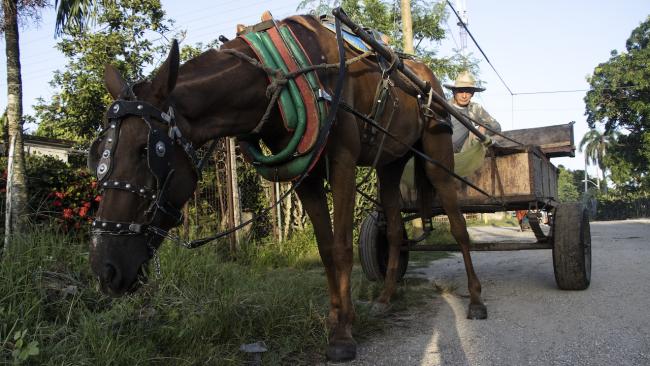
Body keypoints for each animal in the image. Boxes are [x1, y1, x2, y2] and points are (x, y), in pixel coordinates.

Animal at [86, 13, 484, 360]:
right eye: (98, 153)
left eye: (148, 151)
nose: (105, 270)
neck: (281, 78)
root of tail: (424, 76)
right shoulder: (304, 175)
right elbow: (326, 249)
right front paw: (337, 317)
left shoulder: (342, 161)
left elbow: (342, 247)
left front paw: (343, 335)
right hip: (391, 162)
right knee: (397, 228)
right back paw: (386, 298)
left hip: (437, 154)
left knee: (459, 227)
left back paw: (476, 299)